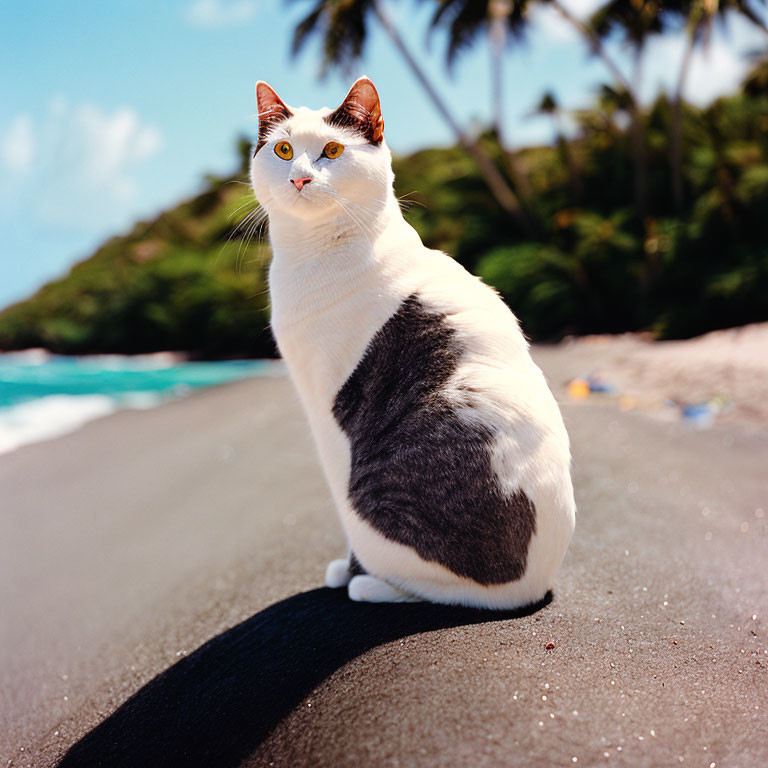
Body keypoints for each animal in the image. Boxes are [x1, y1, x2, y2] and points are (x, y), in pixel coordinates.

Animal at [249, 76, 572, 608]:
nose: (299, 179)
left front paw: (348, 571)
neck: (311, 254)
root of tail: (534, 586)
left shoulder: (325, 410)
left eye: (332, 150)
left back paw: (370, 583)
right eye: (283, 149)